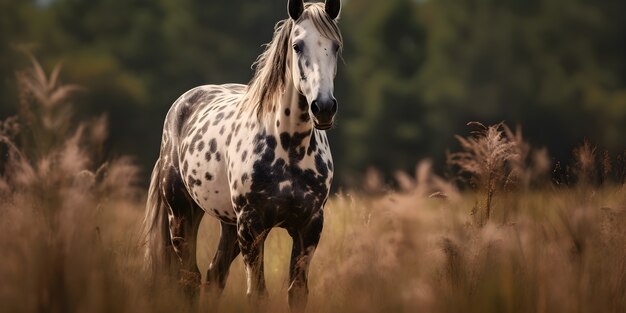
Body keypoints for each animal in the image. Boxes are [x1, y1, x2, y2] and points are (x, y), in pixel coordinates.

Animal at [143, 1, 342, 310]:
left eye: (335, 46)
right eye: (297, 46)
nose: (323, 108)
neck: (289, 149)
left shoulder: (309, 226)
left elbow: (297, 293)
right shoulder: (252, 225)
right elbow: (257, 294)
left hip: (228, 225)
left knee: (214, 276)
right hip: (183, 214)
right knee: (190, 278)